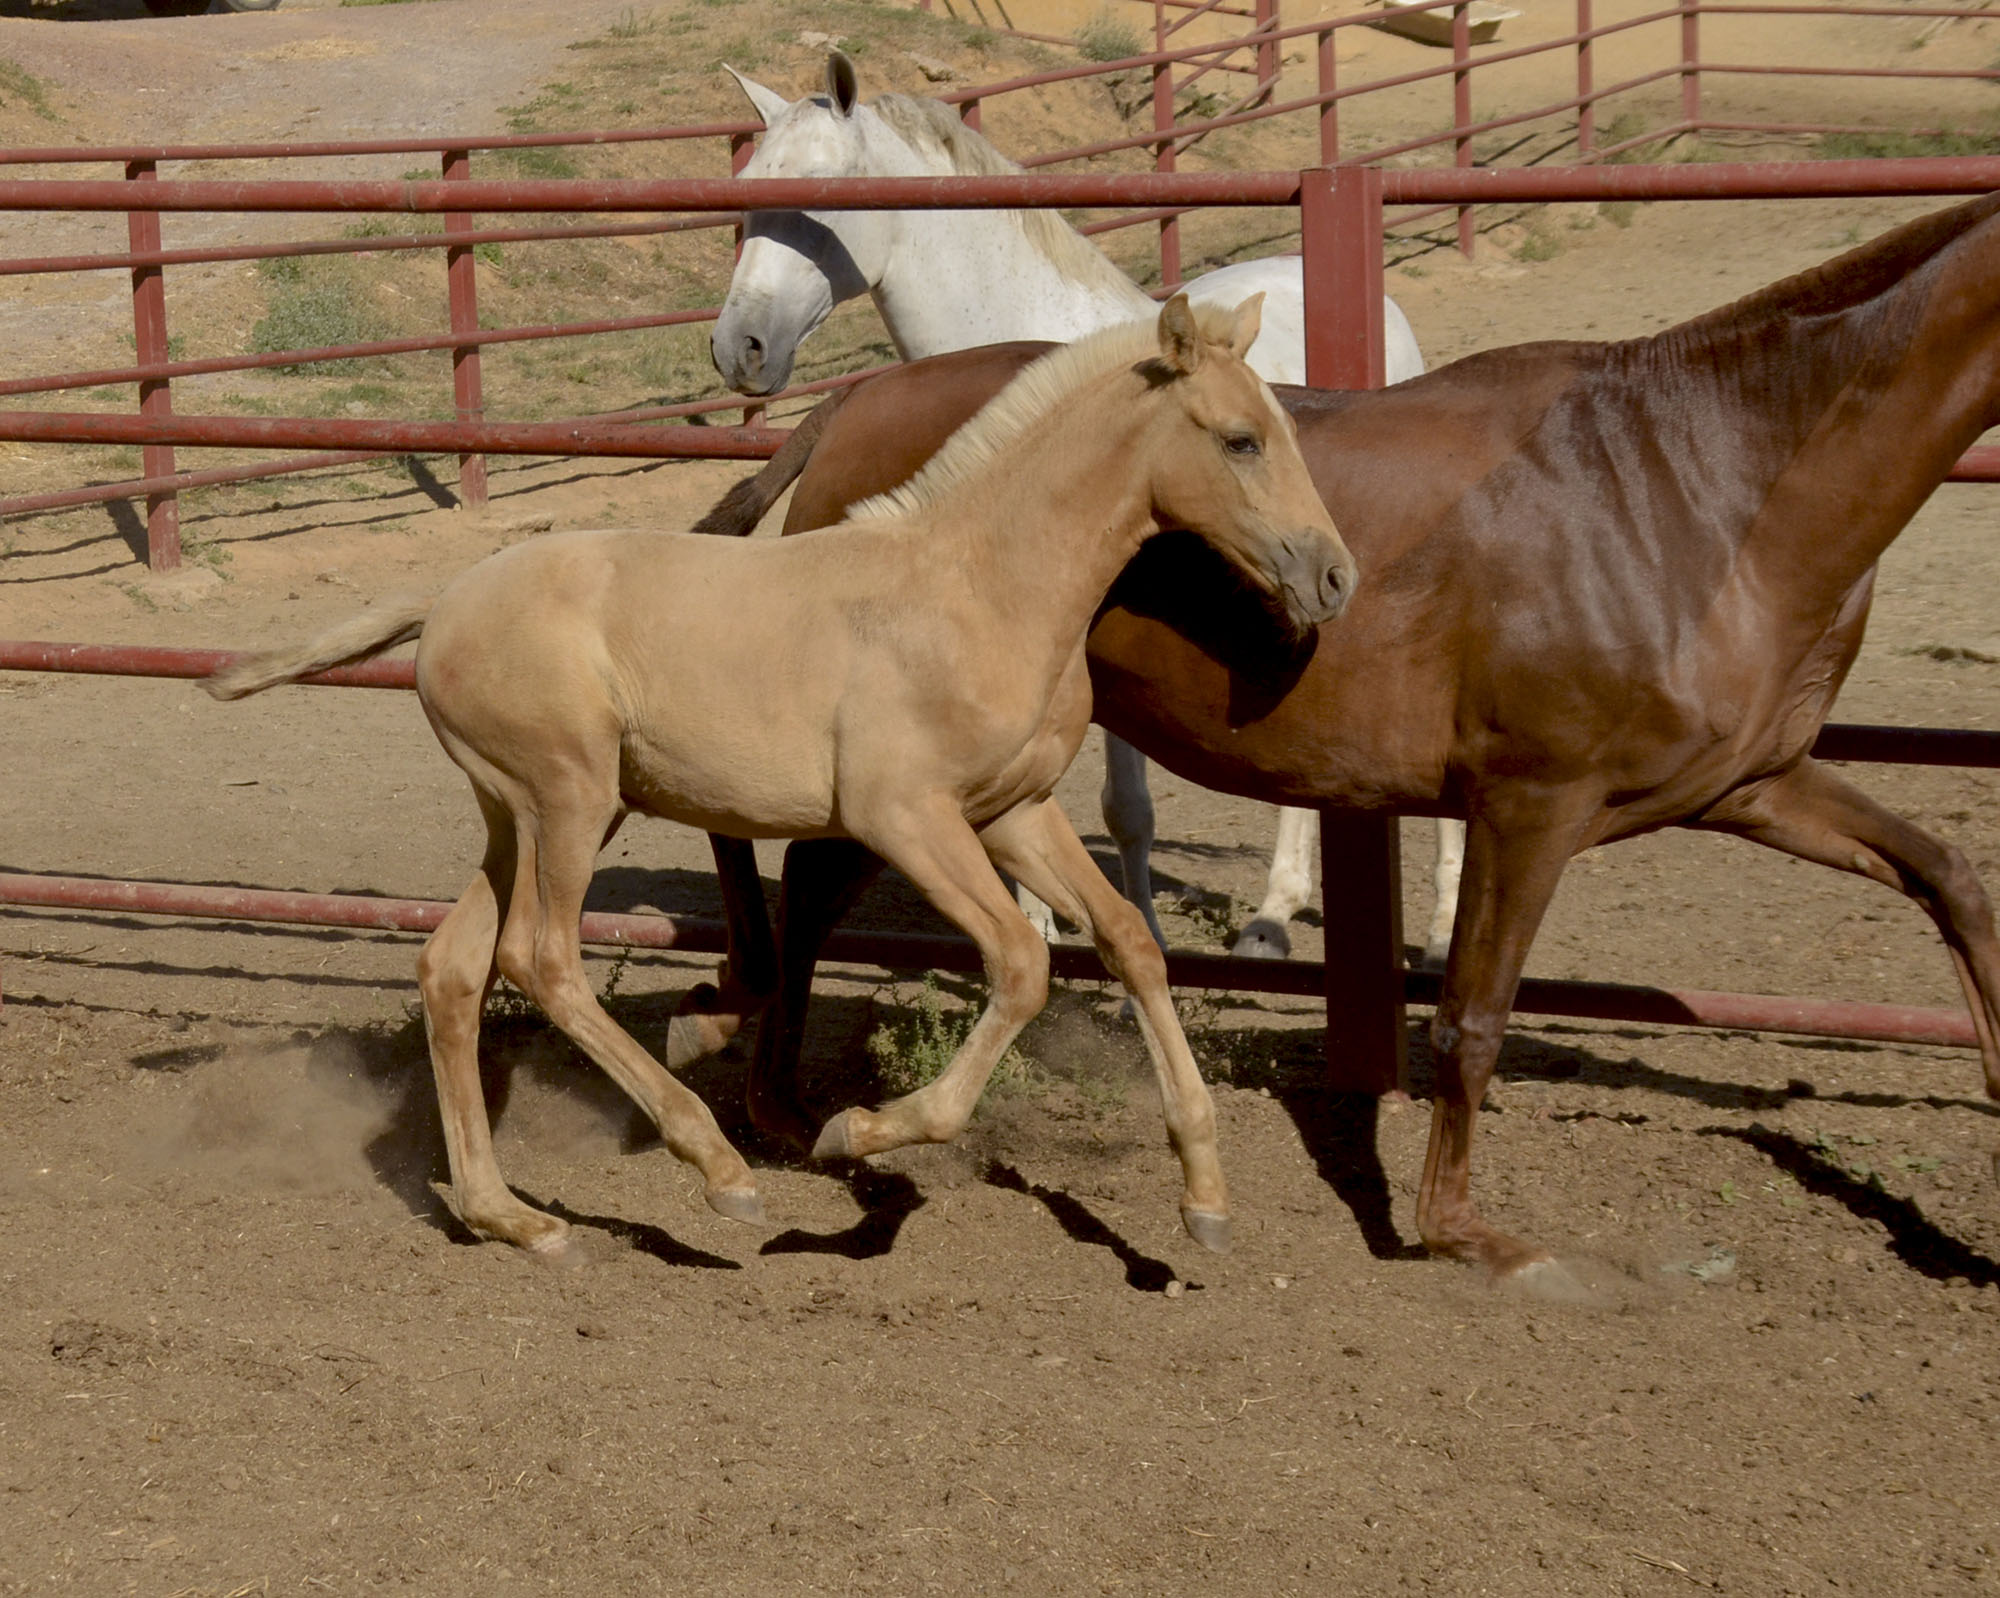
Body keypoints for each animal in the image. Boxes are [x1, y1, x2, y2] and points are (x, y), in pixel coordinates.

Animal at [211, 294, 1352, 1256]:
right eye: (1240, 440)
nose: (1332, 574)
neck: (978, 585)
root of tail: (447, 599)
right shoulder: (905, 817)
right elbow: (1022, 963)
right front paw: (857, 1131)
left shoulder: (1012, 810)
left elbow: (1128, 942)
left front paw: (1204, 1194)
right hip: (567, 802)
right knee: (543, 958)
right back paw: (717, 1167)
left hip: (521, 816)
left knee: (453, 968)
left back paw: (514, 1219)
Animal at [700, 191, 2000, 1288]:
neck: (1694, 481)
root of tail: (854, 406)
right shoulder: (1532, 803)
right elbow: (1469, 1015)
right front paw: (1463, 1233)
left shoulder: (1749, 783)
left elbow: (1949, 878)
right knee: (810, 881)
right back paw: (786, 1109)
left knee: (814, 883)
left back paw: (793, 1106)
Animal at [712, 56, 1464, 964]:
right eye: (746, 192)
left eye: (823, 203)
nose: (739, 347)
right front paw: (1038, 925)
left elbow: (1125, 808)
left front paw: (1139, 931)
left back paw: (1377, 925)